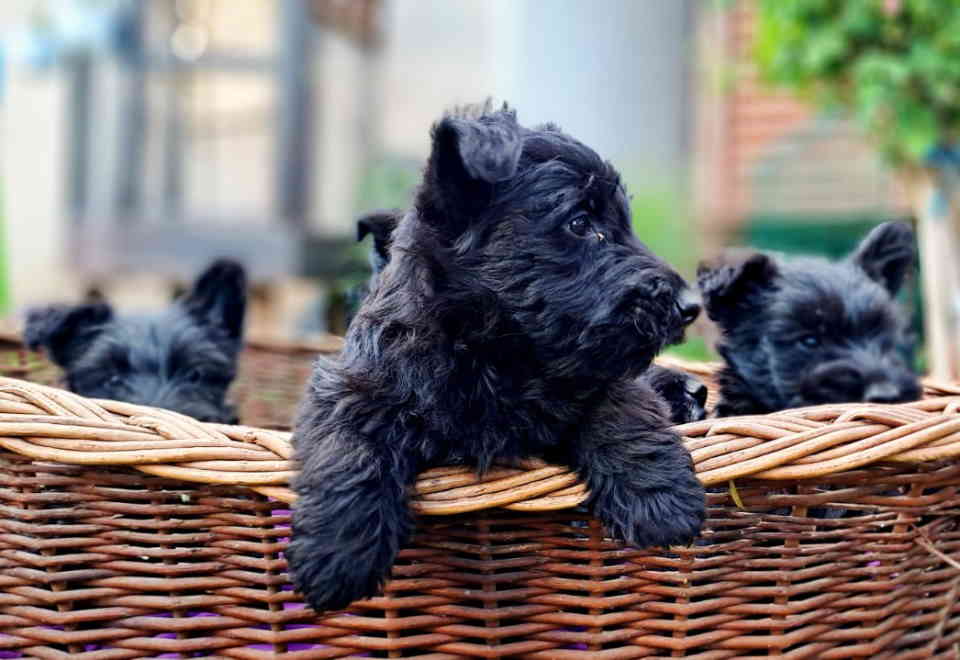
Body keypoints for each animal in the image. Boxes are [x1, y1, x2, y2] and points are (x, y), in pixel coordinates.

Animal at [288, 103, 708, 612]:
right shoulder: (349, 387)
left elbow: (623, 409)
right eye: (579, 223)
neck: (495, 351)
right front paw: (337, 556)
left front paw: (660, 500)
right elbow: (349, 448)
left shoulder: (597, 372)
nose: (691, 306)